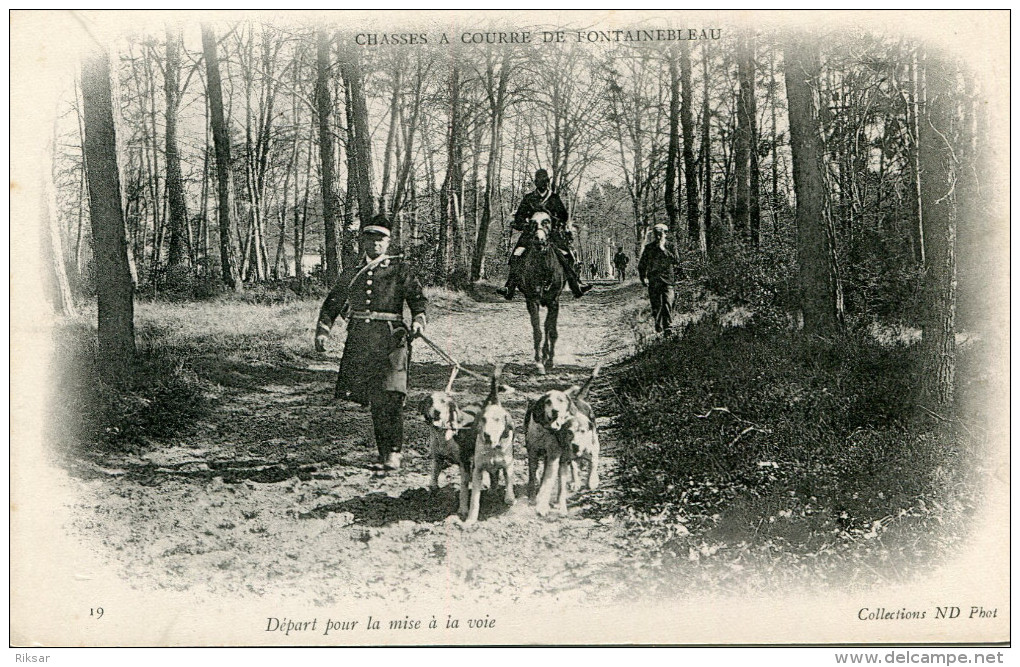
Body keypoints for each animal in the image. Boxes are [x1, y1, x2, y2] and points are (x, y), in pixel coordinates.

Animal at [518, 212, 567, 373]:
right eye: (532, 223)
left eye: (547, 222)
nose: (539, 240)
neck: (543, 270)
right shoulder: (532, 301)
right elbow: (537, 331)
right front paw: (539, 362)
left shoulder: (554, 302)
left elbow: (551, 331)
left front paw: (550, 360)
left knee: (548, 327)